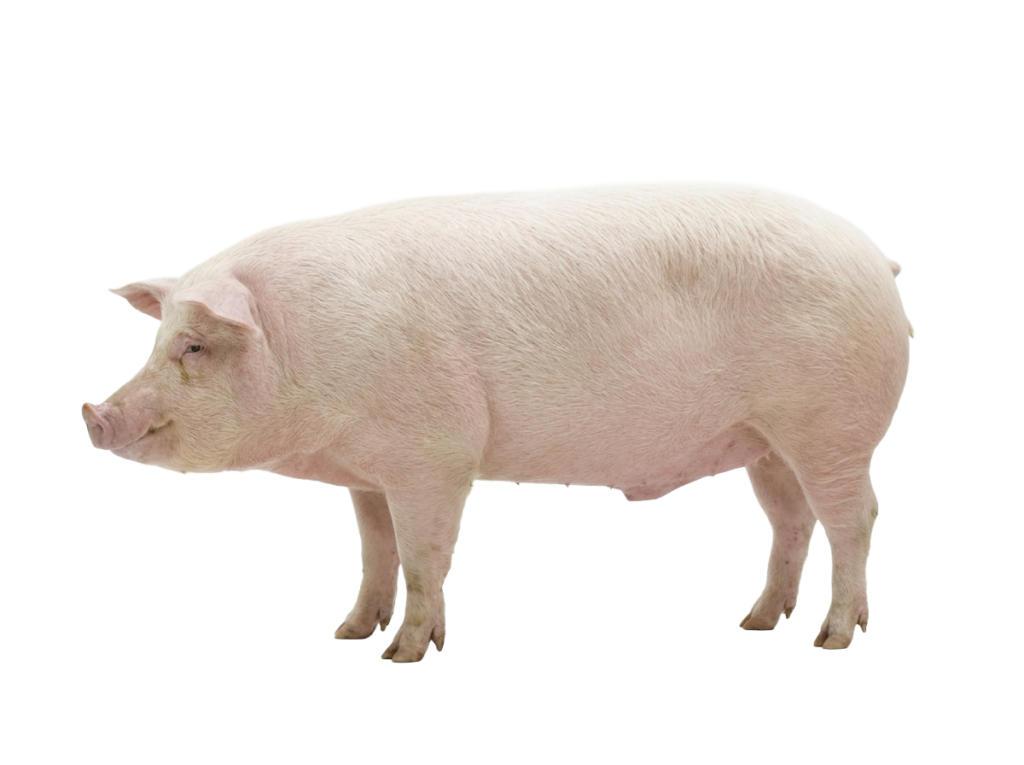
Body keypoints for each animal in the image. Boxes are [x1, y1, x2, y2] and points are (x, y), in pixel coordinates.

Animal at [81, 179, 914, 662]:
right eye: (158, 339)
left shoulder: (436, 452)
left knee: (855, 516)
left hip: (834, 428)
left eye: (194, 344)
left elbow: (424, 555)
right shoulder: (369, 471)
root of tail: (878, 258)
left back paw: (832, 637)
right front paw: (349, 632)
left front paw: (403, 654)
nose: (95, 414)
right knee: (791, 519)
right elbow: (376, 550)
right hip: (768, 443)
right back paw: (756, 623)